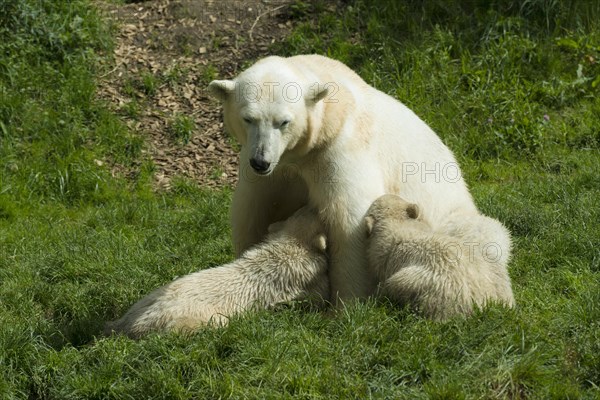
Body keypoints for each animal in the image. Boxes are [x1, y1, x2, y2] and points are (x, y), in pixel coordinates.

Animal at [104, 208, 328, 340]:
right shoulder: (303, 273)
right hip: (189, 317)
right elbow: (318, 292)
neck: (290, 245)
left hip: (150, 297)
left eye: (303, 208)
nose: (316, 207)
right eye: (311, 209)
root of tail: (130, 323)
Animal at [206, 54, 482, 304]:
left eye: (283, 122)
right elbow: (253, 211)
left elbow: (349, 222)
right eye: (248, 118)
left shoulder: (337, 152)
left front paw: (345, 308)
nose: (261, 161)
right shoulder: (273, 171)